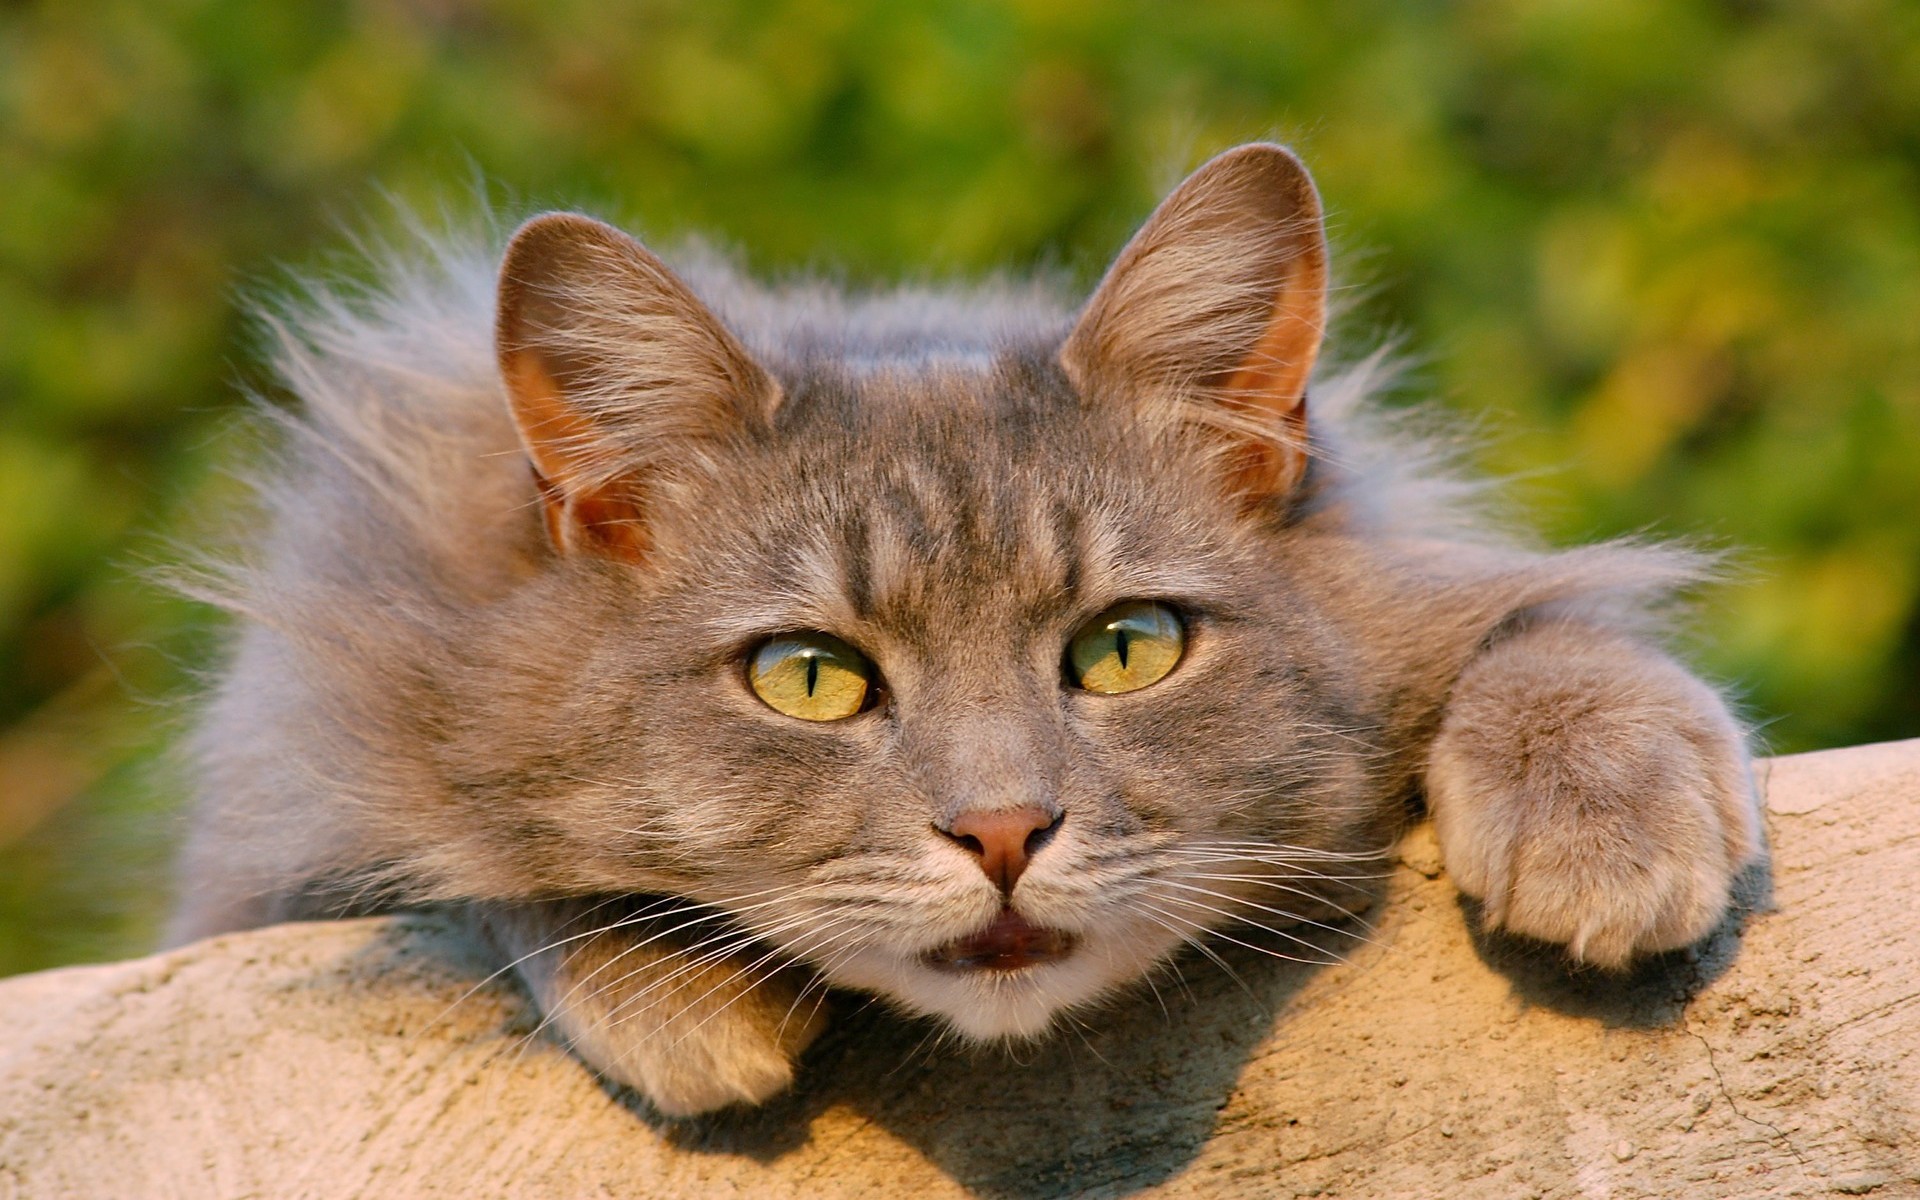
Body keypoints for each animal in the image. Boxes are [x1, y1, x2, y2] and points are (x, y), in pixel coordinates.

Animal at [172, 147, 1758, 1113]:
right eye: (809, 680)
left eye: (1127, 649)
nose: (1002, 835)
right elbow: (472, 869)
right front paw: (673, 992)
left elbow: (1550, 630)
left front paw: (1604, 815)